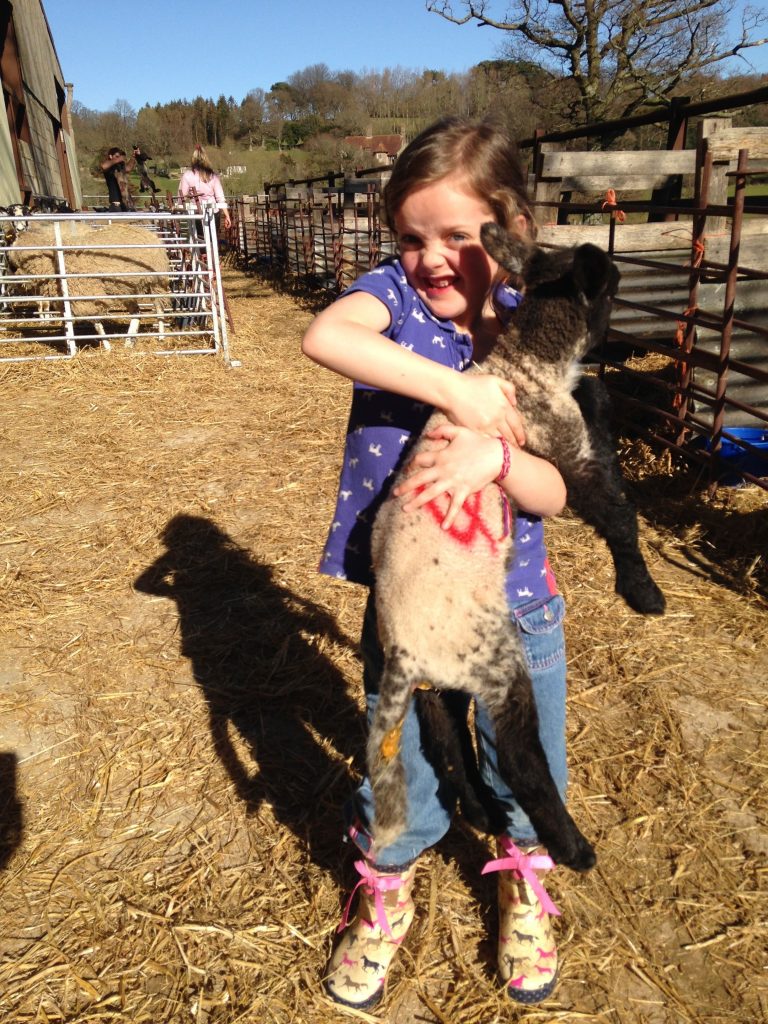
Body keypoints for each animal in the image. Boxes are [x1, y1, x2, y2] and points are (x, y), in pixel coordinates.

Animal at [4, 218, 173, 350]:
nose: (10, 278)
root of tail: (148, 233)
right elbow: (67, 324)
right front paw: (69, 344)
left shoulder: (87, 295)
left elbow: (97, 324)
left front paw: (107, 346)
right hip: (126, 288)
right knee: (136, 312)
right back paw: (129, 341)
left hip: (156, 282)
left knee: (159, 308)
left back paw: (161, 336)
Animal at [370, 226, 663, 872]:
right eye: (613, 291)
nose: (622, 342)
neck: (524, 359)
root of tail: (403, 654)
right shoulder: (566, 450)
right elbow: (617, 516)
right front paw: (643, 591)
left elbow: (595, 391)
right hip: (496, 662)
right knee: (519, 757)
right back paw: (572, 845)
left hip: (439, 685)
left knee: (449, 742)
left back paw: (482, 812)